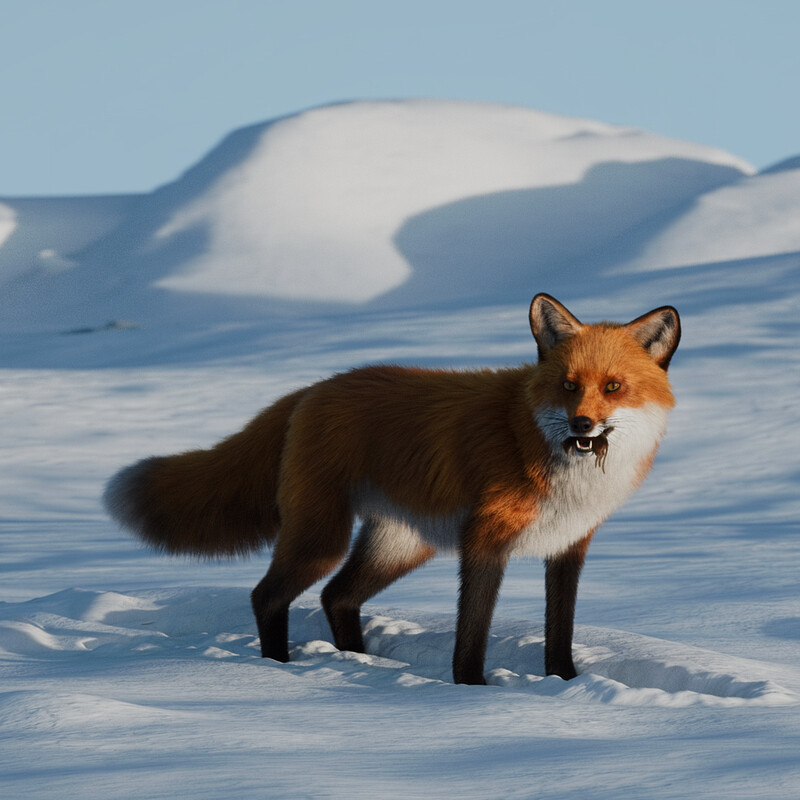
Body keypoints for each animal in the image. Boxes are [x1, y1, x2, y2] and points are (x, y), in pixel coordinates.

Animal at [104, 294, 680, 685]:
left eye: (613, 387)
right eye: (568, 386)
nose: (582, 424)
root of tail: (311, 389)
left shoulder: (568, 547)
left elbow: (560, 630)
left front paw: (564, 682)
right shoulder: (485, 539)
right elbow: (473, 629)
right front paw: (472, 689)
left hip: (400, 545)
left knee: (337, 596)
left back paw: (357, 661)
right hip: (323, 538)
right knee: (267, 595)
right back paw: (279, 668)